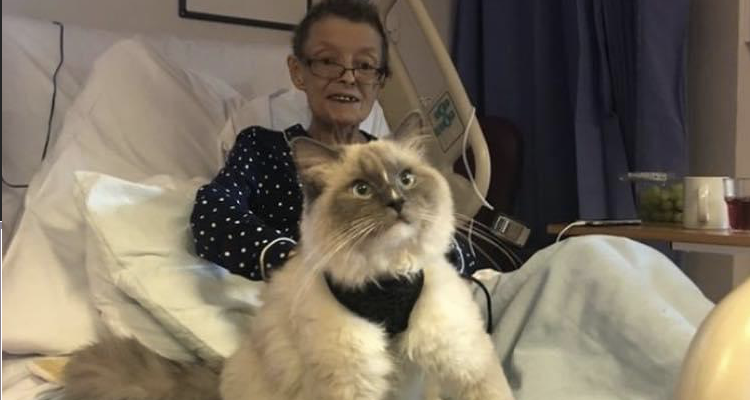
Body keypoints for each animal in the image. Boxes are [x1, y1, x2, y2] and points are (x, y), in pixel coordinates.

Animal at [61, 133, 516, 398]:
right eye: (362, 190)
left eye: (405, 179)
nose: (397, 202)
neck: (386, 282)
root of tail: (220, 376)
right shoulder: (350, 384)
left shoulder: (467, 363)